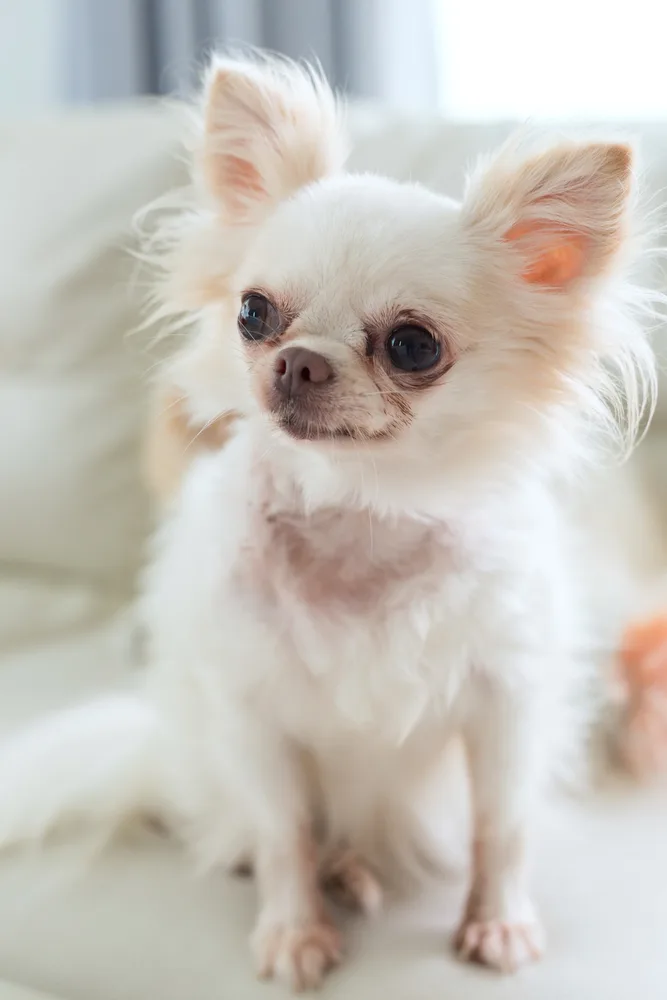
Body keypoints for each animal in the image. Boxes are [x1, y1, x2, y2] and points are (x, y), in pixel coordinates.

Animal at [0, 52, 660, 984]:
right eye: (253, 313)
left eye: (413, 345)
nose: (298, 361)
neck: (359, 510)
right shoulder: (254, 716)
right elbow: (284, 835)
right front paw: (294, 930)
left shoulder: (505, 703)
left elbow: (501, 826)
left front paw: (496, 921)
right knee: (267, 833)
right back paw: (330, 869)